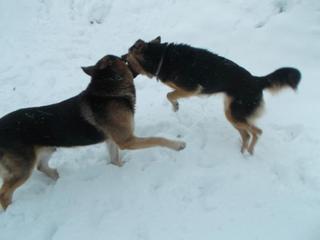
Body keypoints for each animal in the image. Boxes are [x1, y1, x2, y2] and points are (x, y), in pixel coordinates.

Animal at [0, 54, 185, 210]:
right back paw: (11, 209)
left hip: (47, 150)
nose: (127, 56)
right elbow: (158, 139)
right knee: (5, 193)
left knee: (41, 167)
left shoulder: (112, 141)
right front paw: (178, 145)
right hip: (23, 168)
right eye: (124, 60)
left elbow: (115, 159)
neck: (109, 91)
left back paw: (57, 177)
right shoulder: (127, 140)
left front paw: (119, 169)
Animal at [124, 36, 302, 155]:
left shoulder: (192, 88)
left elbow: (170, 95)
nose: (121, 56)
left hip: (234, 114)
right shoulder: (181, 87)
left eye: (127, 53)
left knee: (257, 132)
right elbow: (171, 93)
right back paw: (242, 153)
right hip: (232, 114)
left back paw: (250, 151)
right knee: (246, 134)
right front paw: (176, 106)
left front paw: (175, 107)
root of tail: (256, 80)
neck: (160, 57)